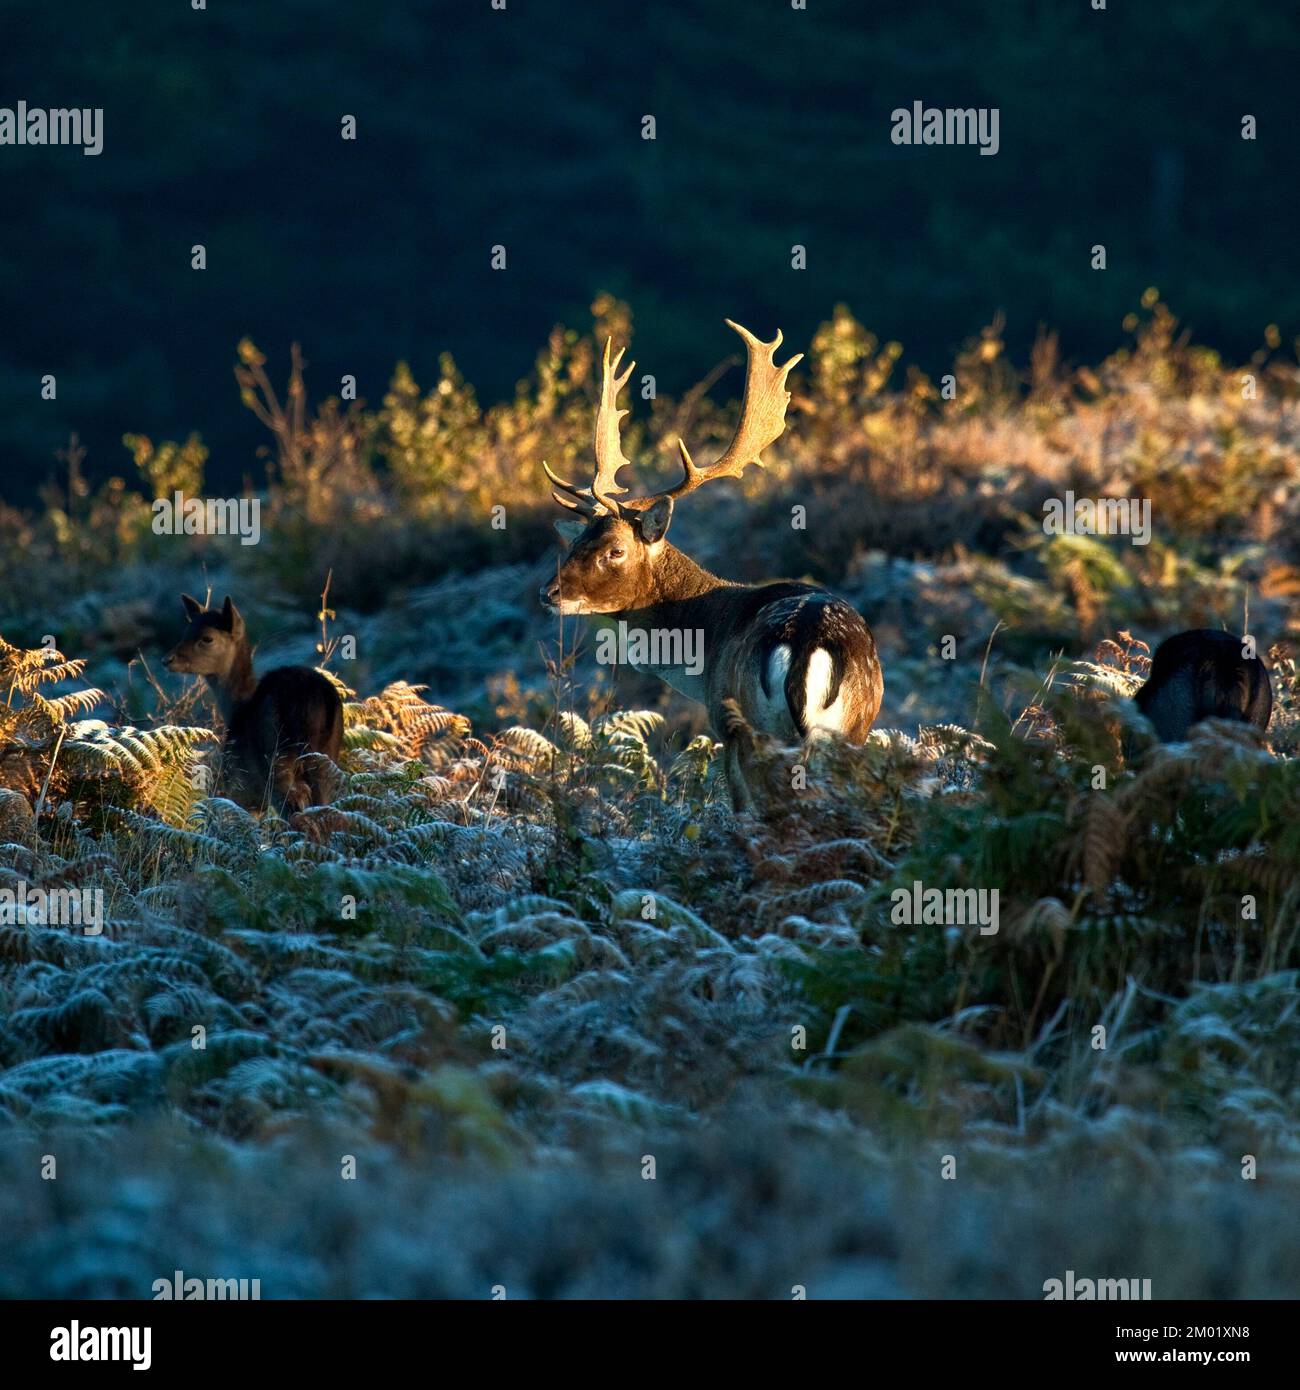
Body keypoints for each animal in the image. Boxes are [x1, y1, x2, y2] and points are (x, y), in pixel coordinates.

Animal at [160, 597, 346, 811]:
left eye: (207, 638)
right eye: (186, 631)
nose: (167, 660)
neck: (236, 710)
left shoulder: (241, 787)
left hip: (277, 761)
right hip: (327, 760)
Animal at [539, 318, 884, 811]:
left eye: (615, 550)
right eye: (577, 541)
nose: (548, 593)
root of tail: (806, 650)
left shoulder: (722, 719)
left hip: (752, 725)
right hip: (853, 727)